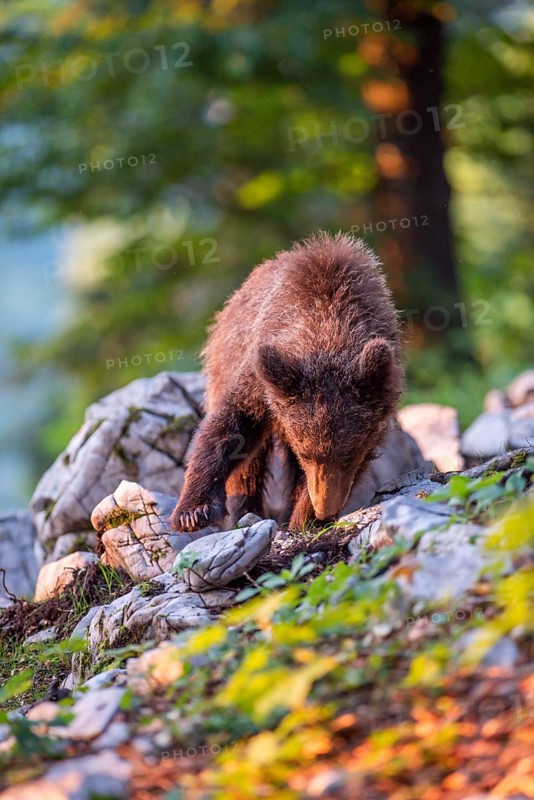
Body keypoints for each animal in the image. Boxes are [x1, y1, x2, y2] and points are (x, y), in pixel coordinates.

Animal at [169, 231, 403, 533]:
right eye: (306, 453)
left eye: (351, 454)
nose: (325, 508)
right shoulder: (264, 375)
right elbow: (229, 425)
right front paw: (193, 511)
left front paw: (304, 517)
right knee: (249, 463)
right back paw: (246, 509)